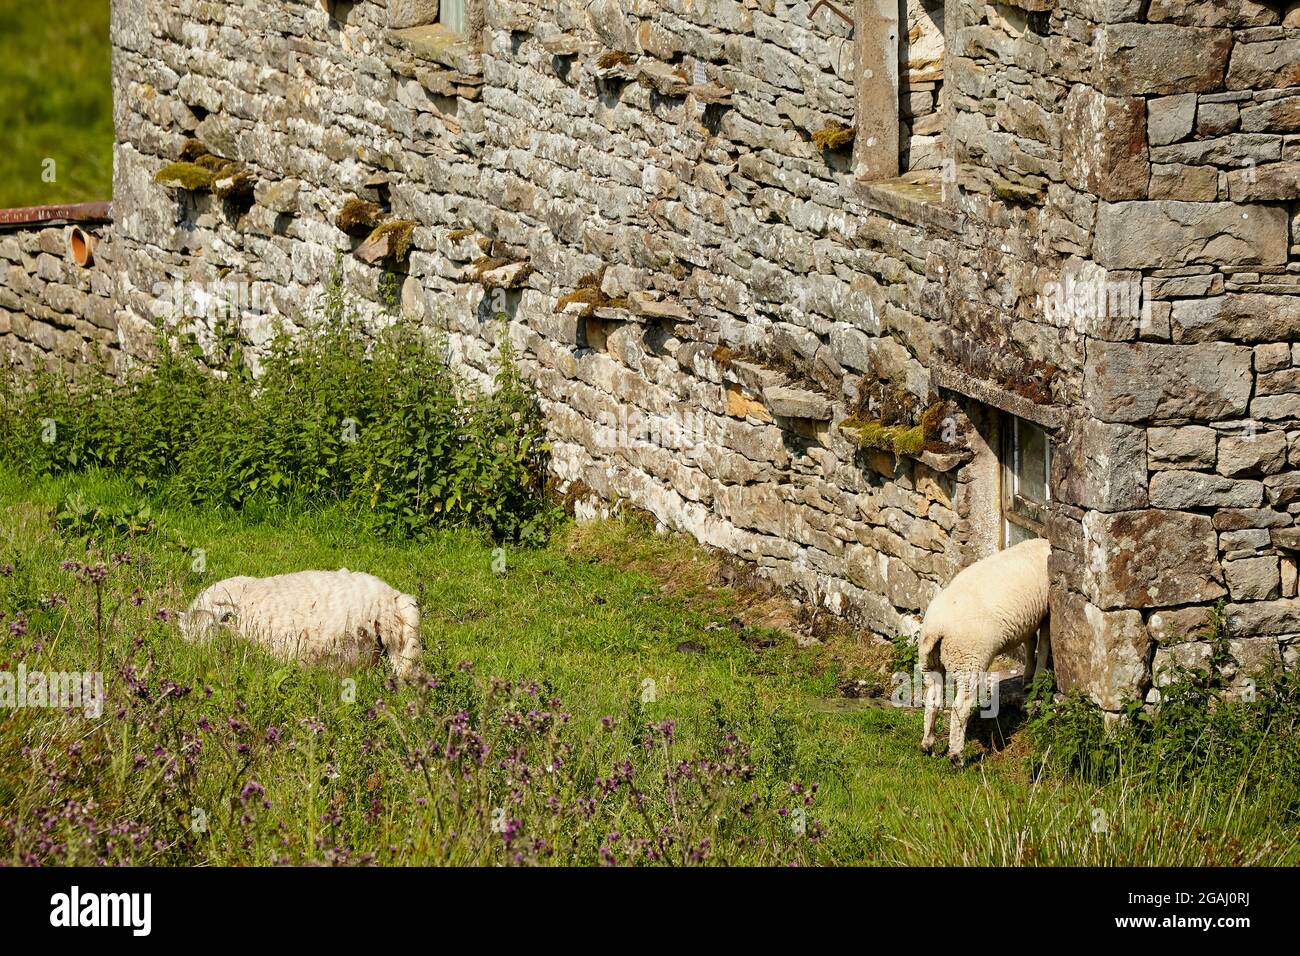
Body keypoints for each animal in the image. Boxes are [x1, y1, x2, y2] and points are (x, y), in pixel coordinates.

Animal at [920, 541, 1050, 764]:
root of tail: (936, 629)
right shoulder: (1047, 612)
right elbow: (1042, 646)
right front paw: (1039, 678)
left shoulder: (1029, 617)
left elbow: (1030, 642)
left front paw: (1028, 678)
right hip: (968, 659)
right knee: (960, 707)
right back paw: (957, 756)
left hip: (931, 662)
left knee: (932, 700)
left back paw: (928, 745)